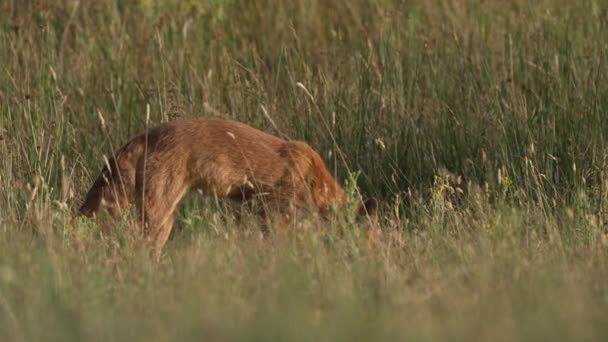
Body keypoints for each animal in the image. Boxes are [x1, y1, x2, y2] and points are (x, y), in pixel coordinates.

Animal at [79, 119, 378, 260]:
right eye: (369, 239)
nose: (373, 266)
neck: (313, 178)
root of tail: (145, 135)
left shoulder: (259, 210)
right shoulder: (273, 210)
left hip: (161, 217)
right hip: (158, 216)